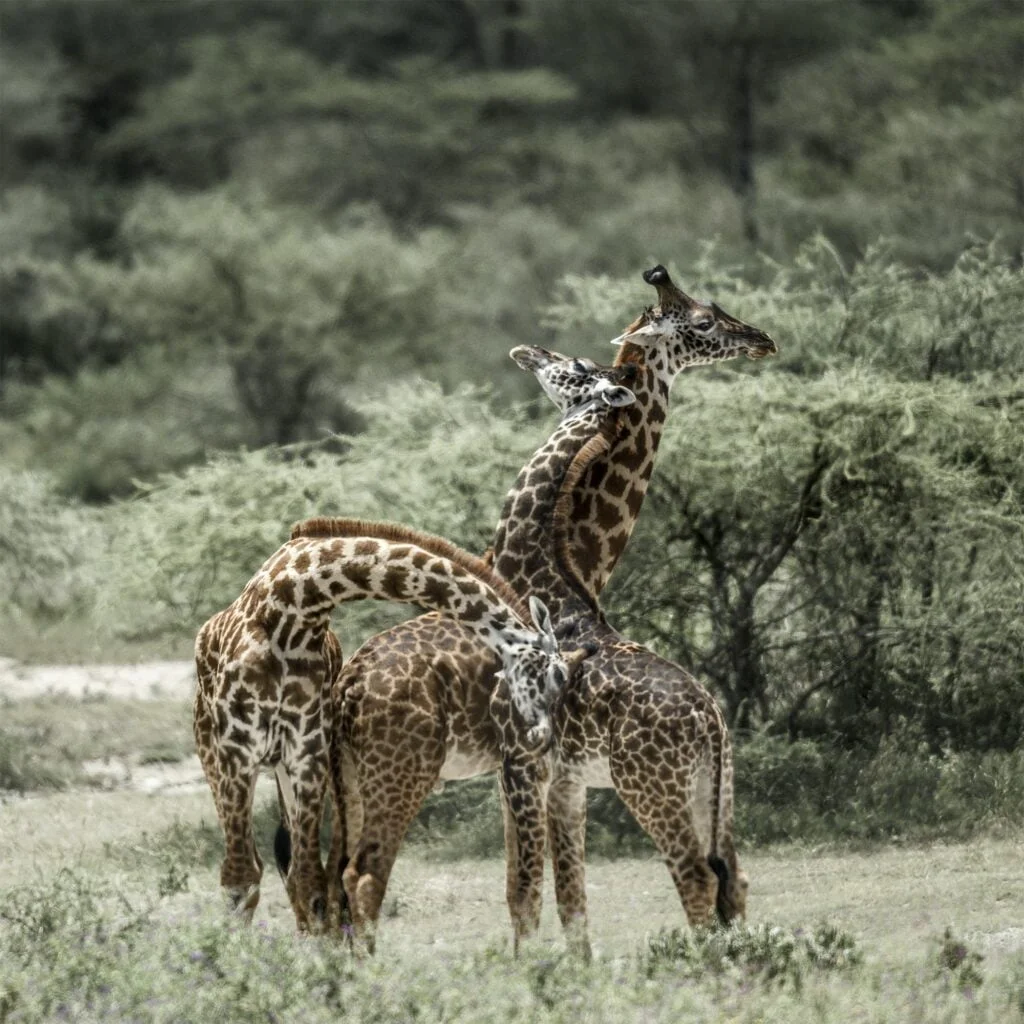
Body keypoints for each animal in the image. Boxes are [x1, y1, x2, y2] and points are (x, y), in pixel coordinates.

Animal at [192, 524, 581, 933]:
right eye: (559, 675)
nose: (541, 738)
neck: (294, 608)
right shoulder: (237, 748)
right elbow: (240, 880)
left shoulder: (306, 754)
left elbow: (310, 881)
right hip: (214, 754)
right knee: (250, 866)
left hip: (287, 767)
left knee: (297, 868)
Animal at [303, 266, 774, 950]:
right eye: (704, 320)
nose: (763, 338)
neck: (564, 561)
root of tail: (348, 687)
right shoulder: (531, 768)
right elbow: (540, 892)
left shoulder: (541, 772)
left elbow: (553, 894)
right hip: (395, 774)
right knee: (348, 878)